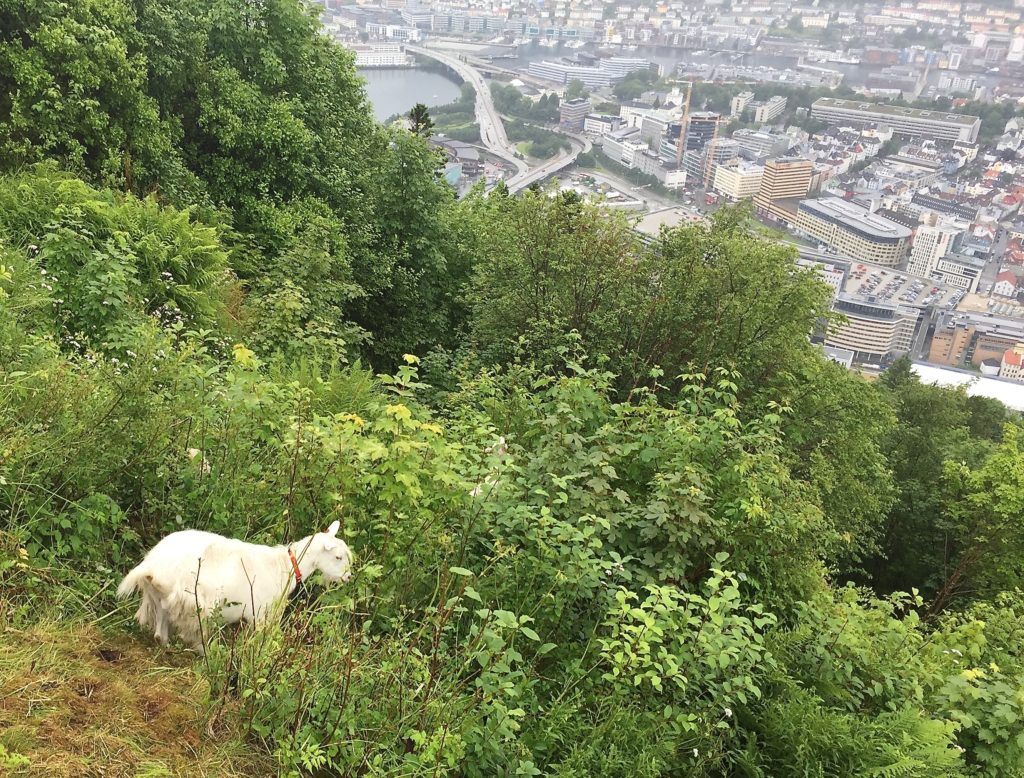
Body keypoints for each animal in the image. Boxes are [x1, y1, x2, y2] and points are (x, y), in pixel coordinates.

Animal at [117, 522, 352, 651]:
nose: (348, 577)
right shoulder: (262, 615)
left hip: (158, 597)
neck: (283, 566)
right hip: (195, 603)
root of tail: (153, 564)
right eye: (338, 557)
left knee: (160, 631)